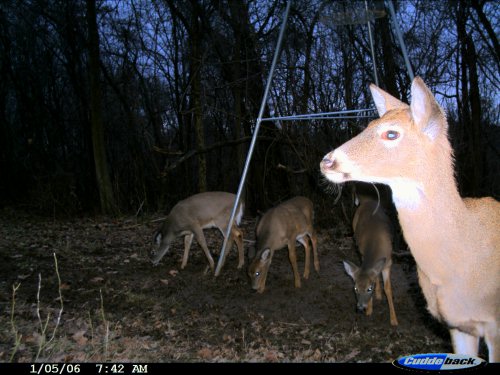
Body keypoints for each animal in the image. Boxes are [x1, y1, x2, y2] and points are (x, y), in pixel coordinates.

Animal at [344, 188, 398, 326]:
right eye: (355, 288)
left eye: (369, 289)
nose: (360, 307)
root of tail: (366, 201)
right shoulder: (363, 254)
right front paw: (369, 310)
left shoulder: (389, 262)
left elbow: (388, 289)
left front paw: (394, 319)